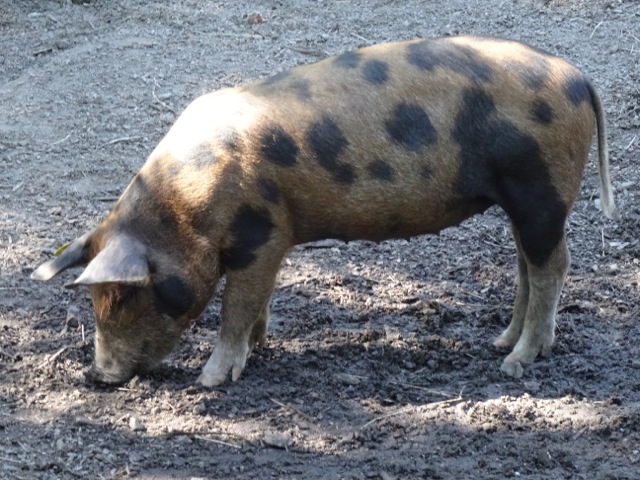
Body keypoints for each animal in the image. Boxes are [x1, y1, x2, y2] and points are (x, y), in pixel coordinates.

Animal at [31, 34, 616, 386]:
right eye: (97, 300)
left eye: (128, 296)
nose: (99, 376)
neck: (182, 208)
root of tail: (577, 75)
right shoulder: (269, 244)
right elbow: (259, 302)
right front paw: (259, 347)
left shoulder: (262, 233)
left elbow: (236, 306)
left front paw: (211, 378)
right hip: (524, 200)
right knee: (526, 266)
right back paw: (499, 341)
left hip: (540, 188)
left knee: (553, 267)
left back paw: (514, 364)